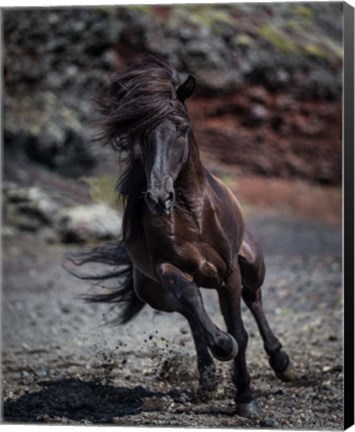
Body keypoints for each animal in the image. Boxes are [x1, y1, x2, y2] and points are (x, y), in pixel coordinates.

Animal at [74, 54, 294, 418]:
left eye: (183, 129)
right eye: (141, 132)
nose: (159, 198)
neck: (194, 216)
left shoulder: (229, 273)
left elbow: (240, 329)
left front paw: (246, 398)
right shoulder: (169, 269)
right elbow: (199, 308)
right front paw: (223, 350)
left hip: (251, 263)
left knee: (254, 299)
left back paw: (281, 362)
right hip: (155, 294)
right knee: (188, 310)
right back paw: (208, 378)